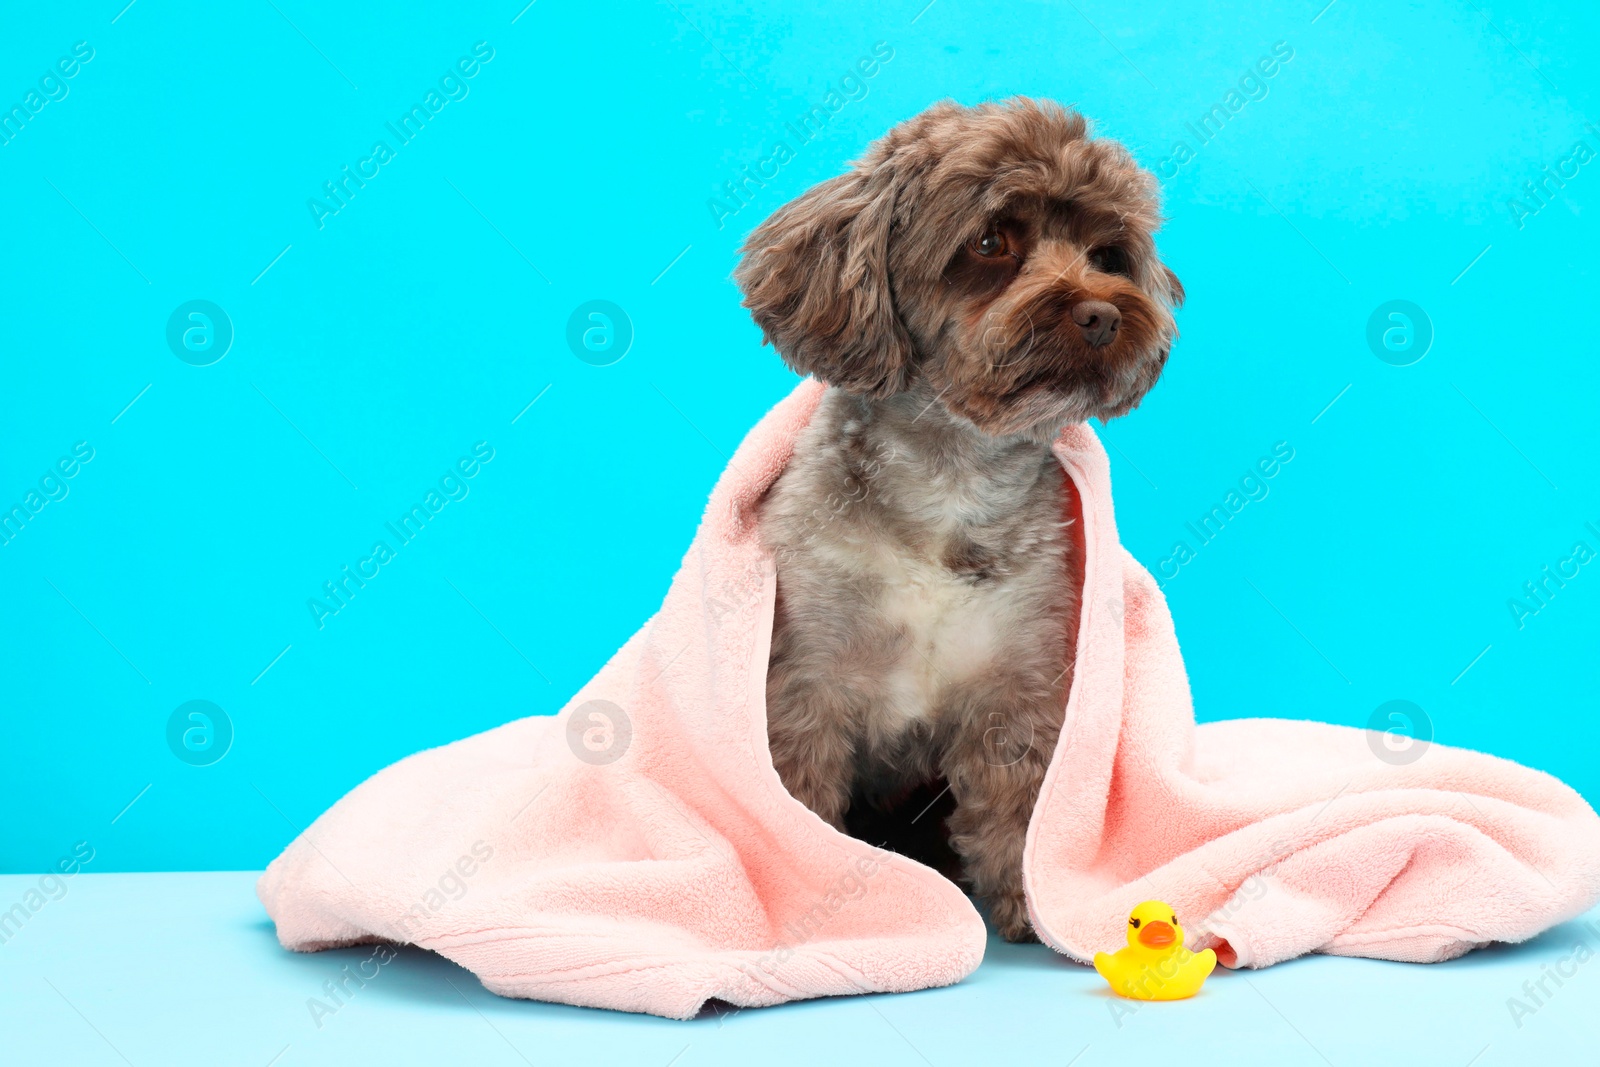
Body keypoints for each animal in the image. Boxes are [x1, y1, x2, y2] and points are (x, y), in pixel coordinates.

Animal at [732, 95, 1177, 940]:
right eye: (991, 241)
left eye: (1107, 253)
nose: (1102, 313)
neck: (950, 480)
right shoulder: (805, 685)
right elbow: (797, 799)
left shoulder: (1018, 686)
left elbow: (1021, 808)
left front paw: (1035, 902)